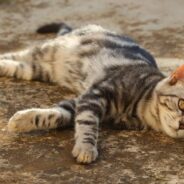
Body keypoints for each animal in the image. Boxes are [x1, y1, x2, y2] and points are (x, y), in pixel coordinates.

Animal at [1, 23, 184, 164]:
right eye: (181, 104)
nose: (182, 124)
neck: (141, 110)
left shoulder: (80, 102)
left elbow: (57, 115)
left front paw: (22, 120)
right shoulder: (95, 94)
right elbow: (88, 122)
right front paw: (86, 147)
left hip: (41, 70)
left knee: (21, 68)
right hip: (46, 50)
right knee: (16, 54)